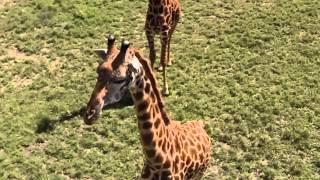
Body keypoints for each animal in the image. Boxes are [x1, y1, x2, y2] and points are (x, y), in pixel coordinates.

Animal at [85, 37, 212, 179]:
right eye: (98, 72)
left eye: (119, 79)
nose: (89, 115)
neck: (156, 161)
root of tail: (200, 124)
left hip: (201, 172)